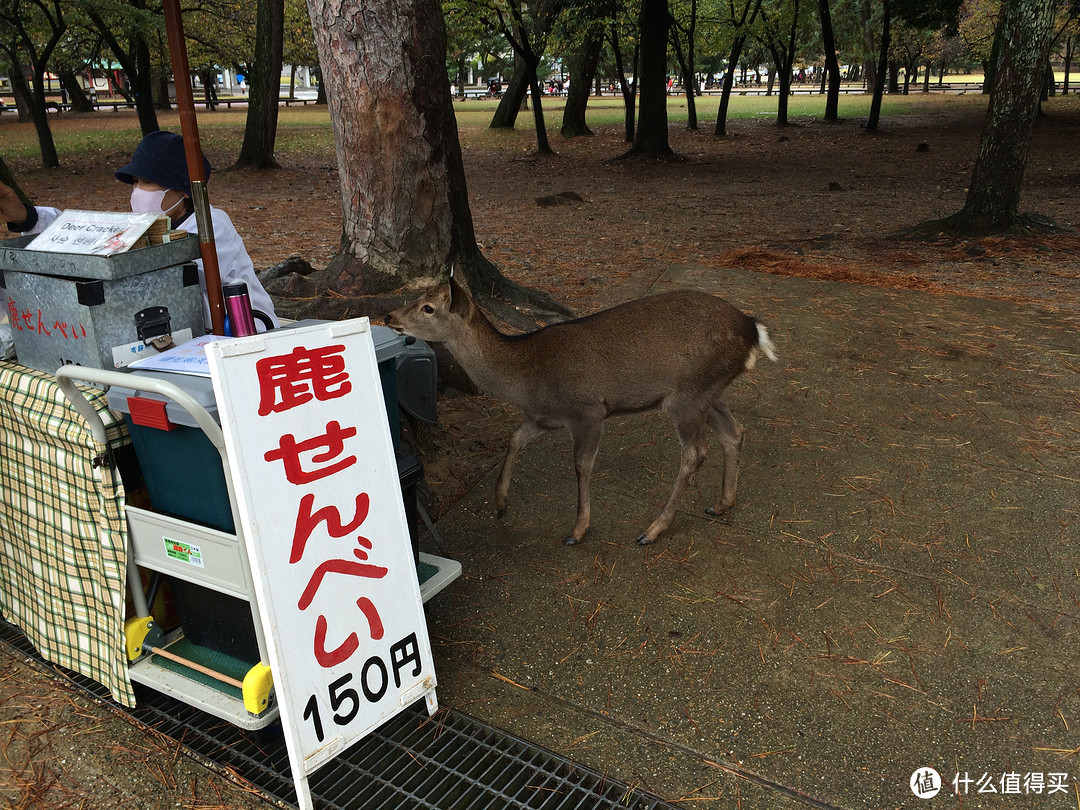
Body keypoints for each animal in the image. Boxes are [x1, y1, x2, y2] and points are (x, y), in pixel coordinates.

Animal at [388, 271, 777, 546]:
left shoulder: (587, 412)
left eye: (428, 308)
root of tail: (753, 328)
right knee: (734, 432)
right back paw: (721, 503)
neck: (526, 379)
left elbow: (581, 466)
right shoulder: (544, 417)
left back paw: (652, 529)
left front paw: (577, 530)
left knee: (695, 452)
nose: (390, 315)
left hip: (688, 395)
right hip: (707, 392)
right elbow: (514, 439)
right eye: (419, 297)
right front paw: (500, 504)